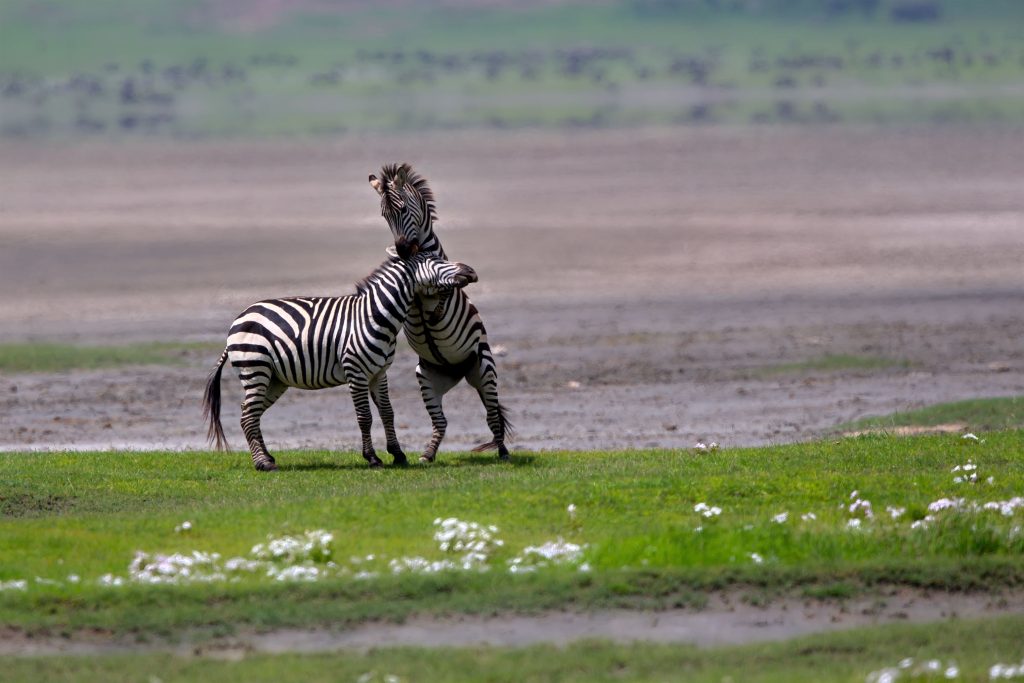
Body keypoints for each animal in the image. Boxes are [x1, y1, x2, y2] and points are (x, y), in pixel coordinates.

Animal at [202, 251, 478, 471]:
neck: (376, 316)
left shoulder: (379, 373)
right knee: (249, 414)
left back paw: (267, 457)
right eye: (436, 260)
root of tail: (240, 317)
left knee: (248, 413)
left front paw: (398, 455)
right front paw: (373, 458)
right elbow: (365, 417)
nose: (471, 271)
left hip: (274, 379)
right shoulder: (356, 372)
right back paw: (262, 464)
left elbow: (388, 413)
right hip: (255, 369)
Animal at [368, 163, 513, 463]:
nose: (402, 250)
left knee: (492, 416)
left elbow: (450, 288)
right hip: (427, 378)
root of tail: (457, 371)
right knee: (441, 421)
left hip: (484, 370)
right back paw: (427, 454)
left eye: (402, 209)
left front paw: (436, 311)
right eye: (384, 215)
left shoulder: (448, 277)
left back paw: (503, 452)